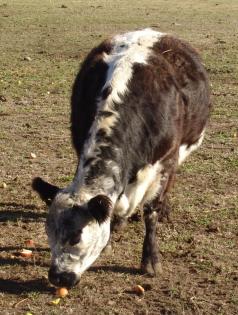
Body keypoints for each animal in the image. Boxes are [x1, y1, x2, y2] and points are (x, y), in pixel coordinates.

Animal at [31, 29, 210, 288]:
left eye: (76, 237)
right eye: (48, 233)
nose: (57, 277)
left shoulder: (166, 161)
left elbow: (151, 212)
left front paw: (150, 260)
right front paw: (111, 236)